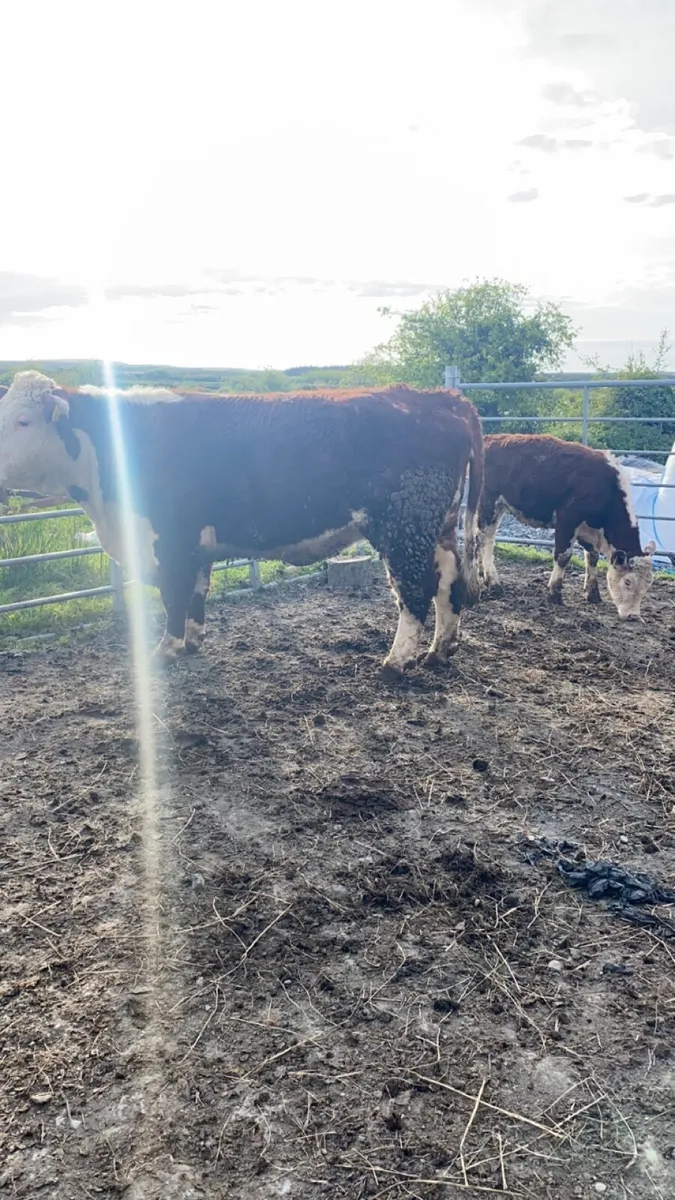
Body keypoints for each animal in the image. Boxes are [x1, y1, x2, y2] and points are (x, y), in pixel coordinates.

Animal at [0, 372, 484, 672]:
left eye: (23, 421)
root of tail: (442, 398)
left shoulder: (170, 539)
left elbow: (172, 597)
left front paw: (165, 651)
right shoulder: (195, 544)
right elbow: (196, 593)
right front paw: (192, 643)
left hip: (403, 525)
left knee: (415, 590)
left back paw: (397, 662)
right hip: (436, 526)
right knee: (448, 581)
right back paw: (441, 650)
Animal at [478, 433, 656, 620]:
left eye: (648, 585)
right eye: (628, 581)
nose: (633, 616)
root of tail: (490, 438)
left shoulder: (587, 531)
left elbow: (592, 556)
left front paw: (592, 593)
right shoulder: (568, 520)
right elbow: (563, 556)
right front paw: (554, 594)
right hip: (490, 502)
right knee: (486, 539)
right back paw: (493, 582)